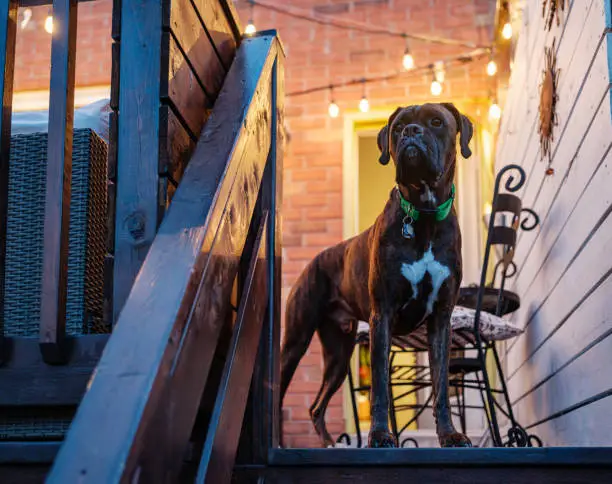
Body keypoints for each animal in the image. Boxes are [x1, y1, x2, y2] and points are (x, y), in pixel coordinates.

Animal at [278, 102, 474, 450]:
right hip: (296, 341)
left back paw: (331, 444)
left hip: (338, 355)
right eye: (397, 128)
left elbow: (441, 388)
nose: (411, 132)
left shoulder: (441, 321)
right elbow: (380, 386)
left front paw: (450, 435)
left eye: (437, 122)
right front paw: (381, 435)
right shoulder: (382, 315)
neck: (424, 215)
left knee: (316, 406)